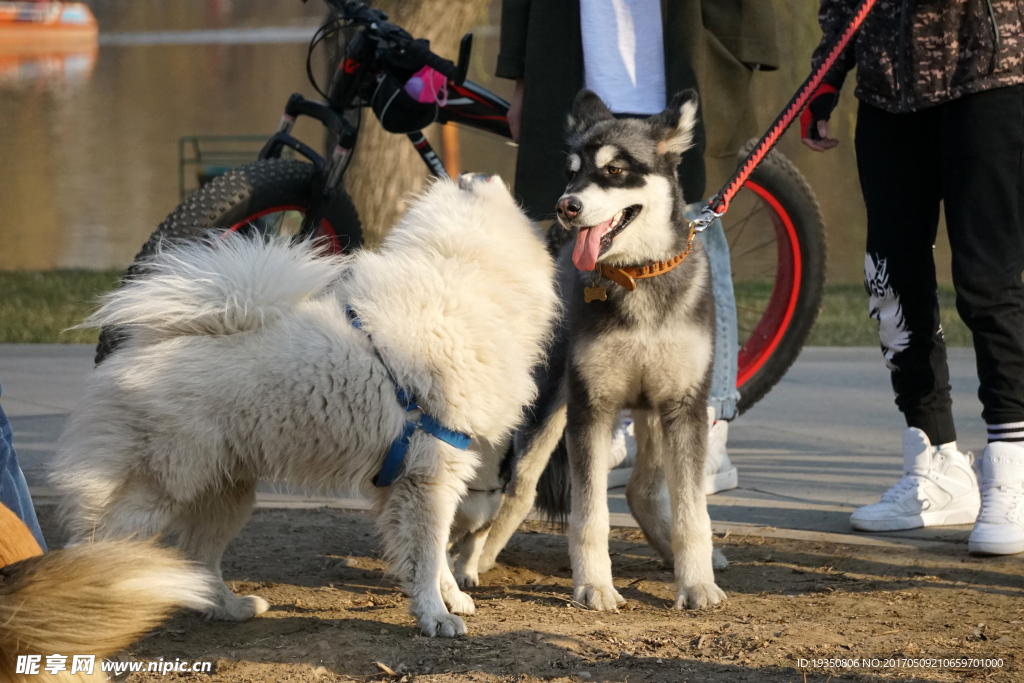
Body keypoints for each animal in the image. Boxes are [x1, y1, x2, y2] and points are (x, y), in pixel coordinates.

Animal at [50, 176, 557, 634]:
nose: (557, 206)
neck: (461, 266)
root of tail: (143, 346)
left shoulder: (420, 479)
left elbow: (432, 558)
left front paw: (450, 599)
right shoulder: (430, 475)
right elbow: (430, 554)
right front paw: (436, 617)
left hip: (225, 492)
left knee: (198, 559)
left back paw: (231, 608)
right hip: (161, 486)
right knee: (94, 543)